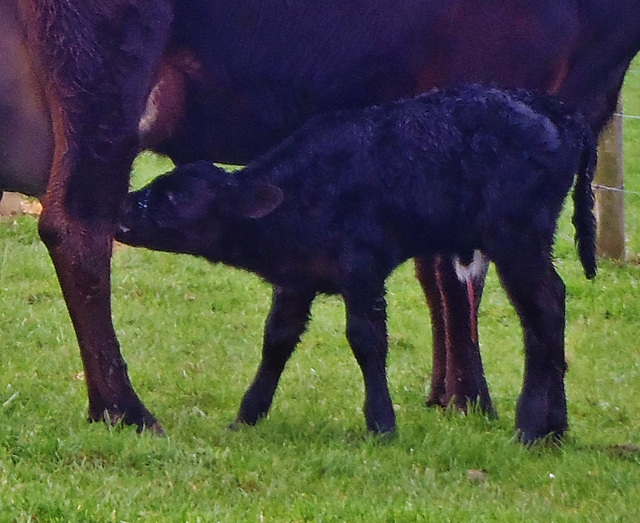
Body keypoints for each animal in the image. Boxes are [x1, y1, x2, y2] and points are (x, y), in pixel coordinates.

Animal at [116, 85, 596, 442]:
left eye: (174, 198)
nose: (122, 210)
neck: (304, 193)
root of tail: (560, 112)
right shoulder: (296, 279)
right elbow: (276, 340)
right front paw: (247, 416)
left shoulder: (364, 269)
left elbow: (366, 341)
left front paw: (381, 424)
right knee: (549, 308)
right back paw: (556, 426)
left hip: (518, 237)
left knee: (543, 308)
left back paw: (531, 427)